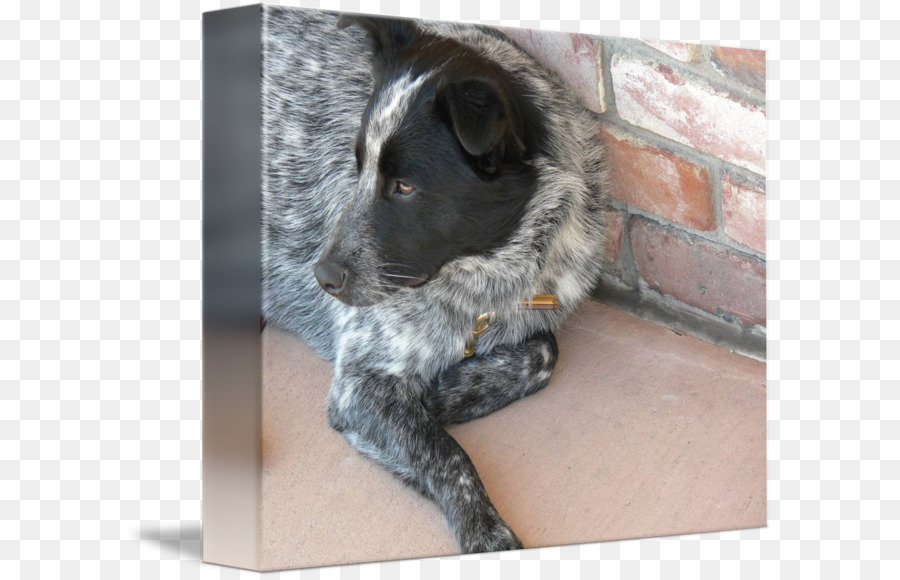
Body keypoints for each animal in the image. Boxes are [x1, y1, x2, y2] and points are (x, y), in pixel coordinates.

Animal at [260, 7, 608, 552]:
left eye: (405, 186)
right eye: (357, 165)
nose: (322, 277)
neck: (485, 275)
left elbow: (544, 351)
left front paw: (441, 393)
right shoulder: (360, 382)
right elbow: (446, 454)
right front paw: (487, 534)